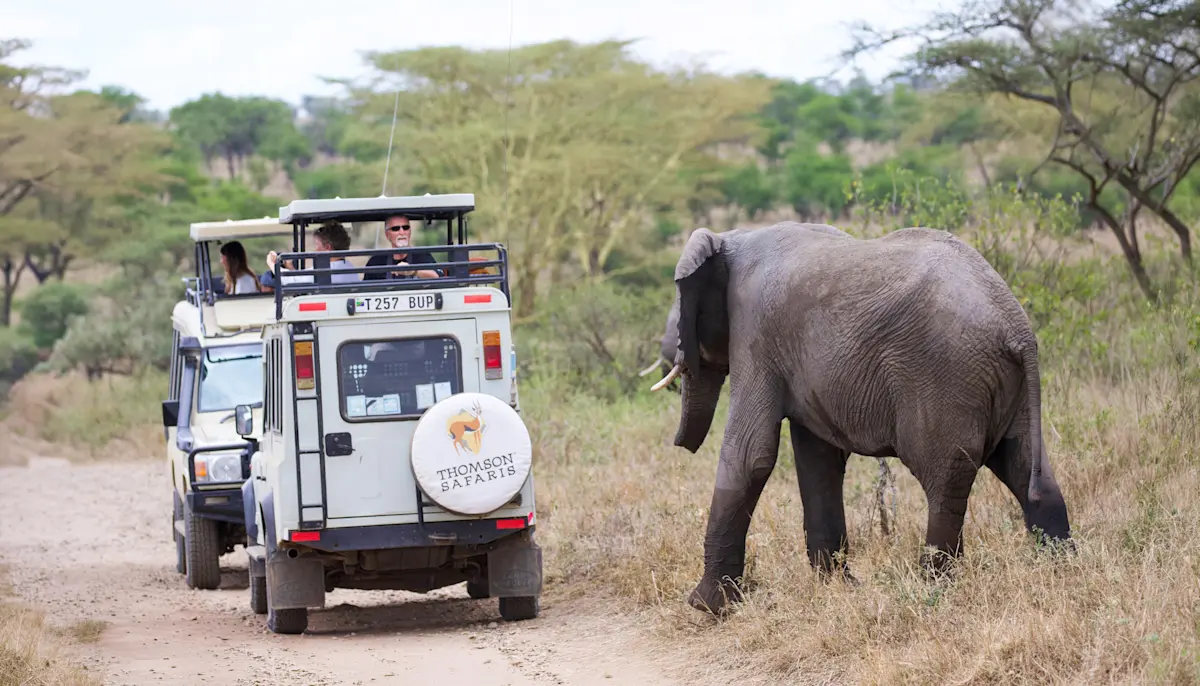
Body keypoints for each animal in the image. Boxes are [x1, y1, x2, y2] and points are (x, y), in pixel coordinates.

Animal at [650, 221, 1072, 615]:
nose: (679, 442)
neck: (730, 240)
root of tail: (1018, 328)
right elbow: (818, 462)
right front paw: (836, 587)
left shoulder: (754, 333)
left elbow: (750, 454)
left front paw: (705, 607)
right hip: (1008, 389)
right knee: (1024, 468)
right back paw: (1061, 570)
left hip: (948, 378)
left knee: (945, 481)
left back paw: (932, 588)